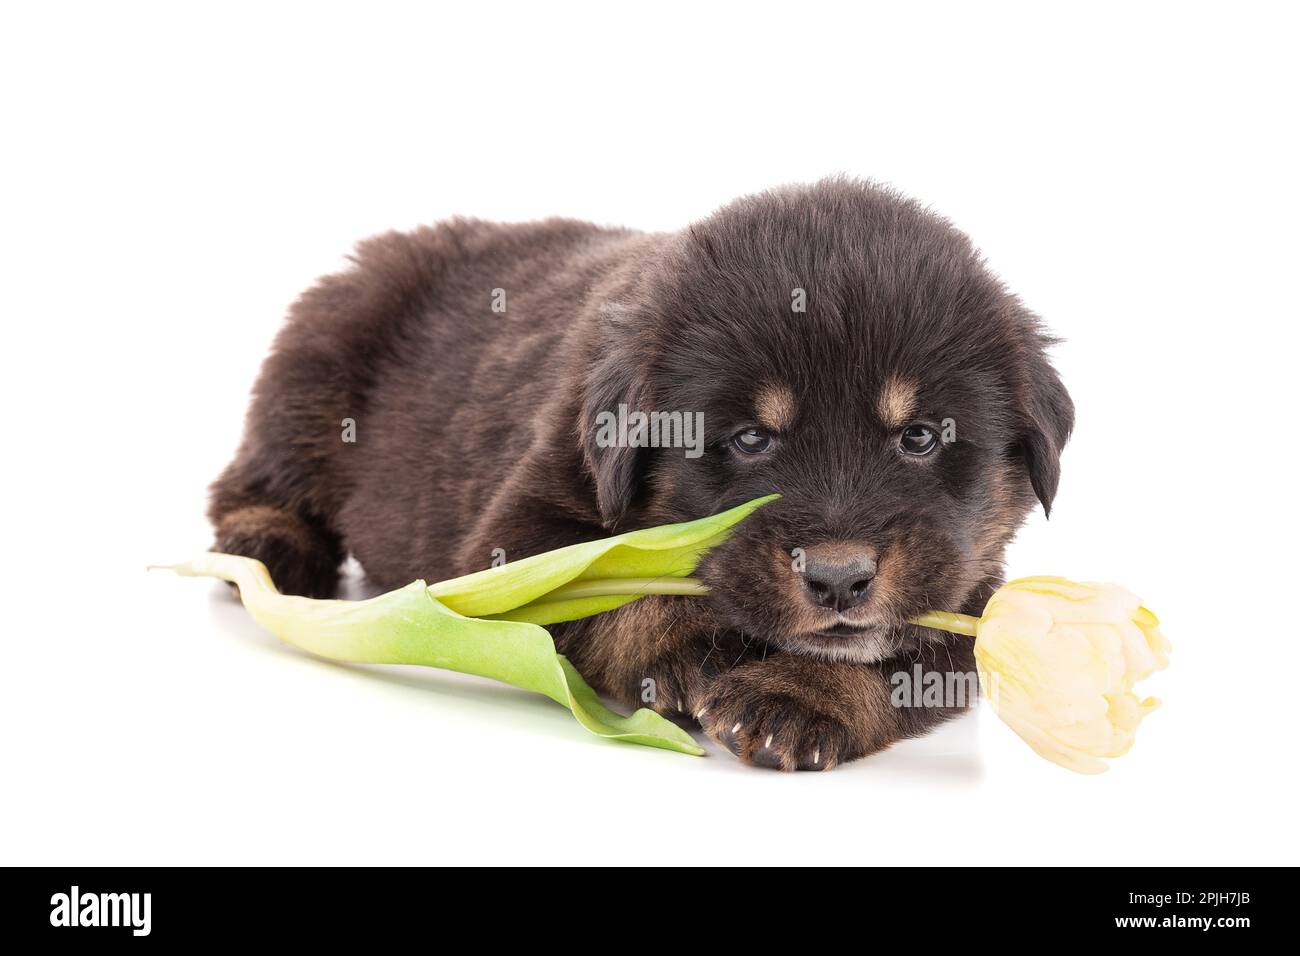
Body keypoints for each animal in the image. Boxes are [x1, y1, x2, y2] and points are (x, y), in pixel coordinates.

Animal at [208, 179, 1071, 775]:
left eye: (919, 437)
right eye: (750, 439)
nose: (837, 578)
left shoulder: (973, 590)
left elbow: (898, 657)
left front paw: (792, 698)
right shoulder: (519, 533)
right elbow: (615, 594)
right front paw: (687, 654)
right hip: (316, 366)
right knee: (257, 480)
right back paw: (264, 549)